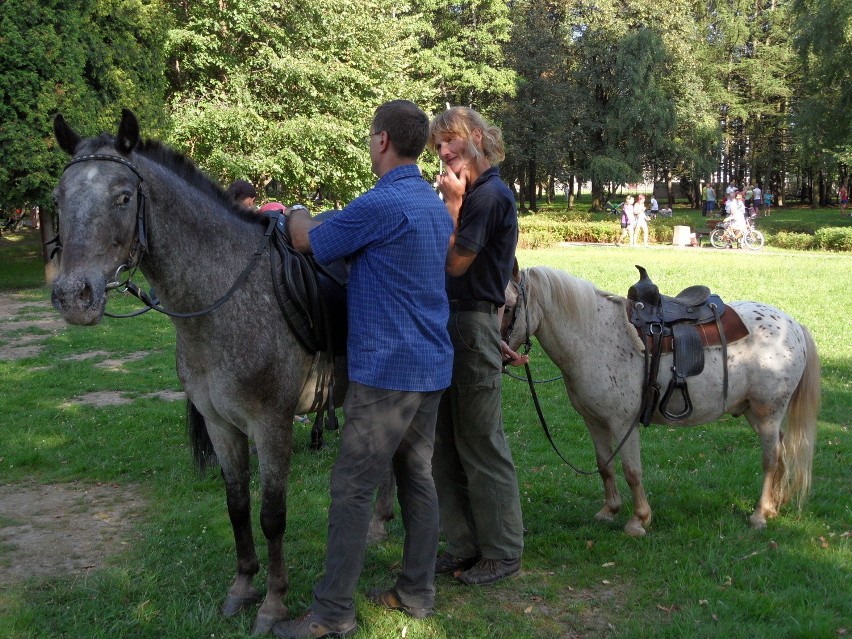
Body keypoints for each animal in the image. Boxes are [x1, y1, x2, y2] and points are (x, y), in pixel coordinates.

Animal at [51, 110, 352, 636]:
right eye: (58, 199)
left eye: (123, 197)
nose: (73, 296)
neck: (225, 295)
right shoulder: (220, 424)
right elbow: (237, 506)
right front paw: (243, 587)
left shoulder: (271, 425)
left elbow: (272, 515)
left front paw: (273, 603)